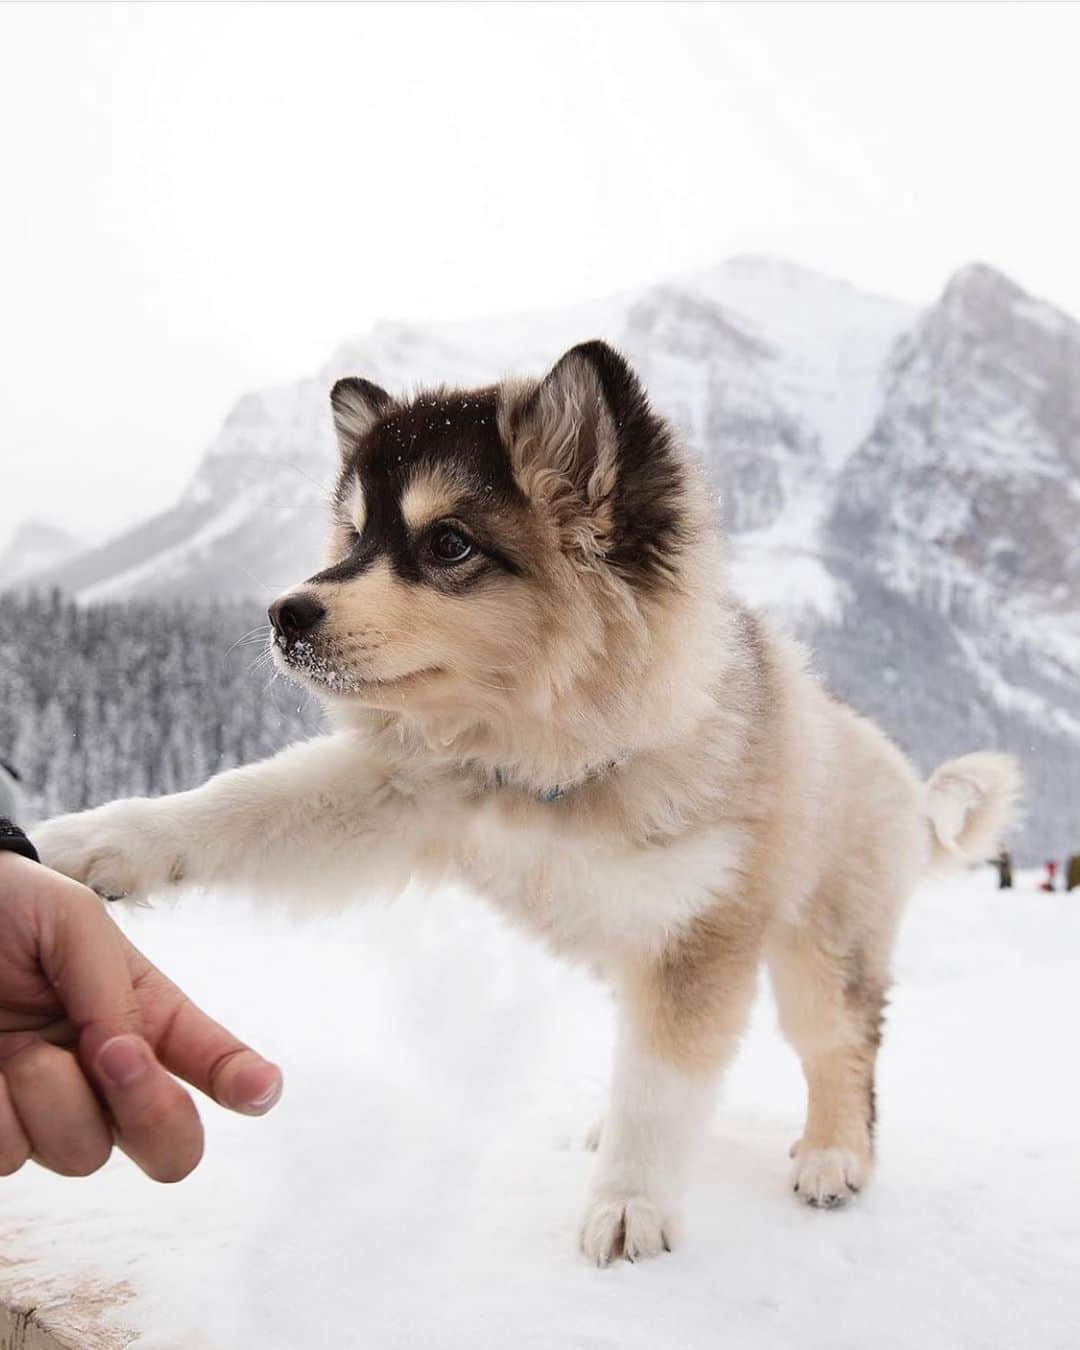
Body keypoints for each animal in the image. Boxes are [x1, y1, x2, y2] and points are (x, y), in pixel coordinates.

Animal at [35, 340, 1020, 1263]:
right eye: (353, 539)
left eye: (449, 544)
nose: (285, 614)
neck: (549, 766)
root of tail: (901, 776)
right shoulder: (404, 792)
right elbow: (239, 804)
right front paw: (93, 843)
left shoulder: (698, 932)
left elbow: (663, 1085)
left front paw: (630, 1202)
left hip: (821, 943)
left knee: (840, 1046)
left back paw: (833, 1153)